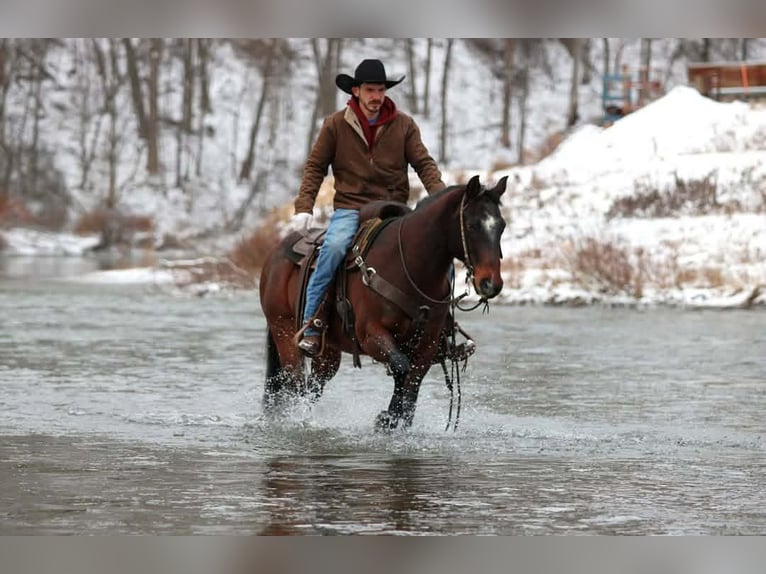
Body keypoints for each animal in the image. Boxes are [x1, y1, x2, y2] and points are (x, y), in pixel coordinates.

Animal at [259, 174, 508, 430]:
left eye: (501, 226)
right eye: (472, 225)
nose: (491, 284)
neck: (408, 265)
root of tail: (274, 255)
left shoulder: (426, 346)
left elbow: (410, 388)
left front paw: (391, 420)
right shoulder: (371, 335)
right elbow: (400, 368)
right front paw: (386, 418)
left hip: (327, 353)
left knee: (313, 385)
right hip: (284, 332)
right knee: (295, 384)